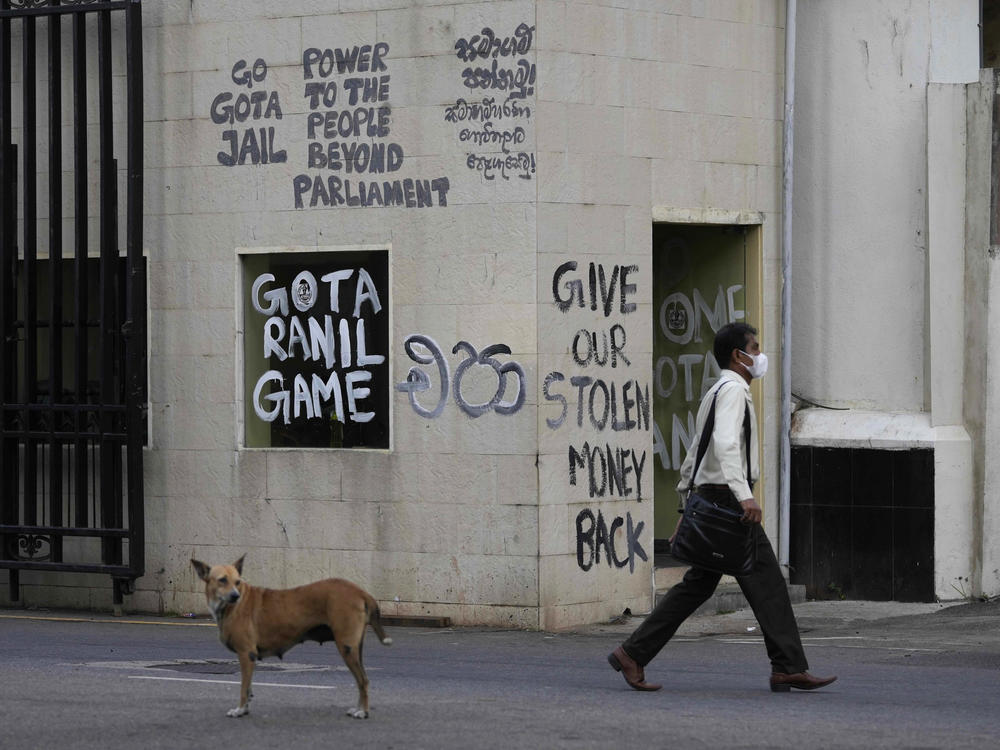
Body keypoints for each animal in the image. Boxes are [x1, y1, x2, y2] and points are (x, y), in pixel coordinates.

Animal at [189, 560, 392, 724]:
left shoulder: (246, 655)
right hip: (356, 649)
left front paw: (240, 710)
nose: (235, 595)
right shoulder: (249, 658)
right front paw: (245, 708)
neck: (232, 606)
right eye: (222, 580)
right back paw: (359, 708)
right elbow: (249, 687)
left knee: (363, 681)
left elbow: (243, 688)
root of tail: (361, 592)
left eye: (238, 582)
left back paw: (363, 712)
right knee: (361, 681)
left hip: (347, 648)